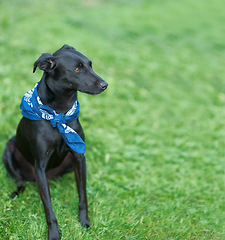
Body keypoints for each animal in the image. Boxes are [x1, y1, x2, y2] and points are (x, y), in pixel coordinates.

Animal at [2, 44, 108, 239]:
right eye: (77, 69)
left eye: (90, 65)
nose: (105, 85)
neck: (59, 113)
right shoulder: (40, 165)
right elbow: (49, 209)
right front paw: (53, 233)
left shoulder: (79, 157)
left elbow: (82, 195)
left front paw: (84, 221)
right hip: (9, 150)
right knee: (19, 180)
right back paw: (16, 192)